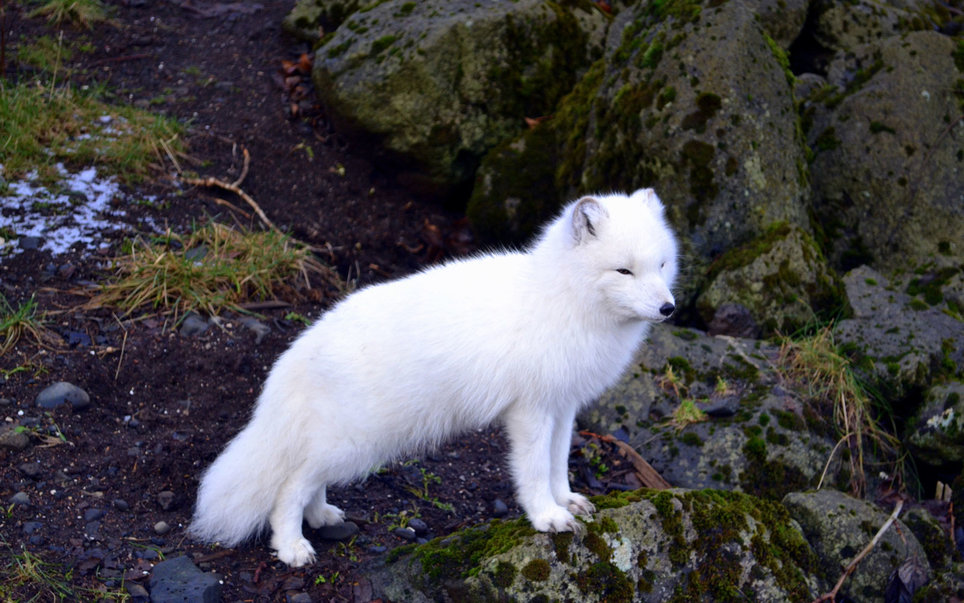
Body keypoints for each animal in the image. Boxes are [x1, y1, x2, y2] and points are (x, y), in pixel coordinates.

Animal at [190, 189, 676, 568]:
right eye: (624, 270)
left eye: (662, 265)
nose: (668, 308)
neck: (564, 299)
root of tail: (299, 350)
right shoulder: (531, 411)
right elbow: (535, 469)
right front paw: (546, 516)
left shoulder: (564, 406)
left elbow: (558, 463)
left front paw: (567, 500)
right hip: (355, 443)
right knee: (288, 487)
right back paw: (291, 546)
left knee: (305, 481)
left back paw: (322, 516)